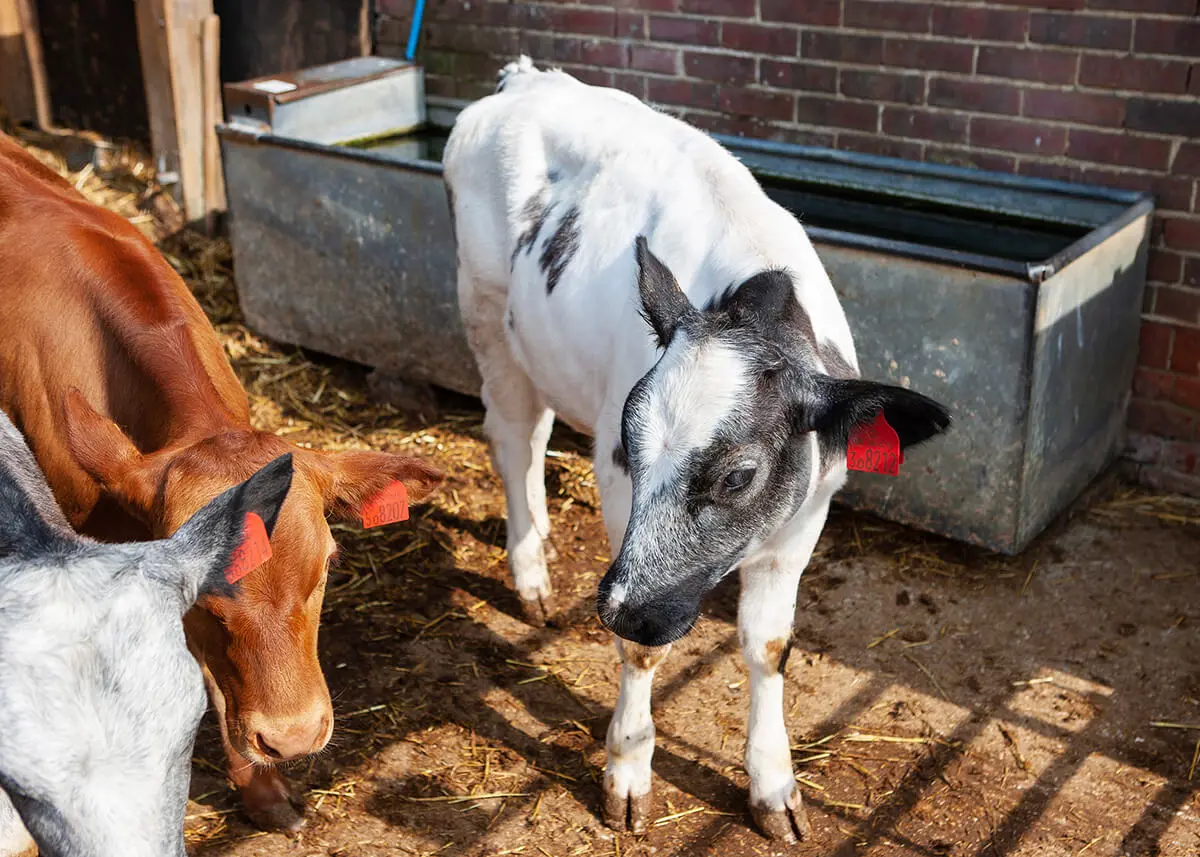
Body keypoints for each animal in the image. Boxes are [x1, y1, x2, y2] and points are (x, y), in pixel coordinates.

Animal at [446, 60, 950, 840]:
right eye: (630, 446)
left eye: (740, 475)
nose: (620, 607)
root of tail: (528, 79)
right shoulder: (617, 488)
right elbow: (644, 651)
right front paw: (627, 773)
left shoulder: (807, 515)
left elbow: (769, 646)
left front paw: (774, 786)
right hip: (486, 315)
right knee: (514, 440)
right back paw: (530, 575)